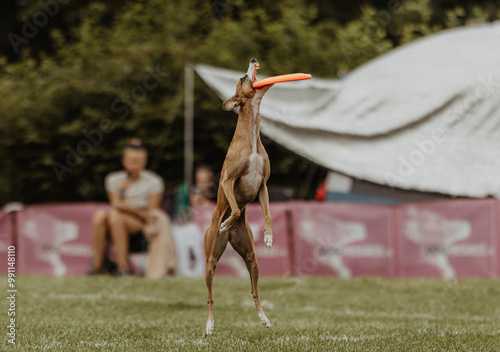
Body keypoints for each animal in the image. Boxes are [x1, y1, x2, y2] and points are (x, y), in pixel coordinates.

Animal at [203, 58, 274, 336]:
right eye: (242, 79)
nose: (253, 60)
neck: (251, 136)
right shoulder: (227, 181)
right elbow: (233, 208)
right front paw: (226, 222)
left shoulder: (263, 185)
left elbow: (267, 214)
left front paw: (269, 236)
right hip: (211, 261)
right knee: (210, 297)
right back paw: (209, 325)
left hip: (251, 258)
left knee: (254, 292)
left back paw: (264, 318)